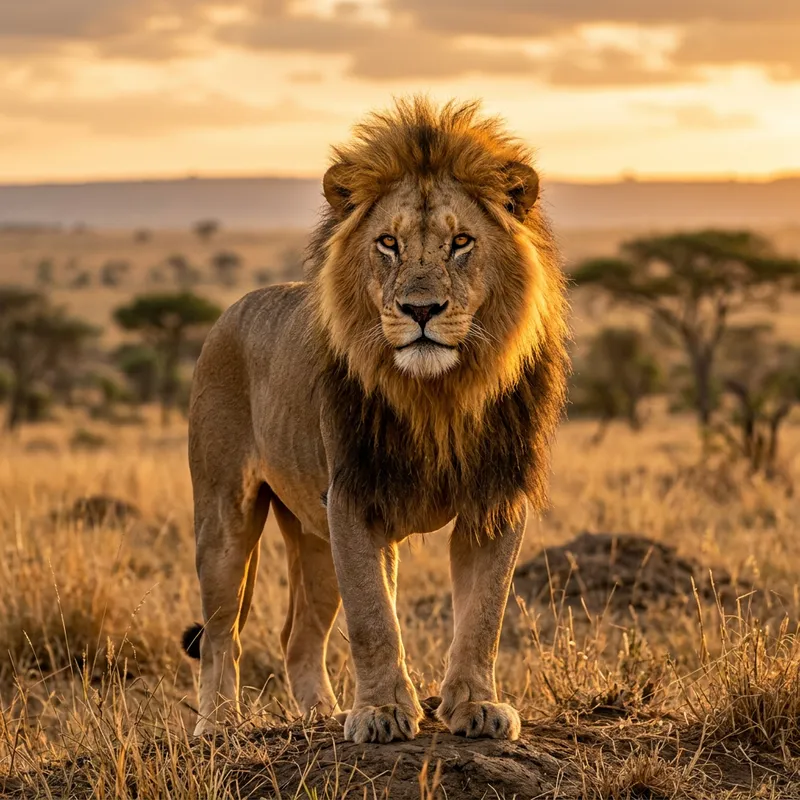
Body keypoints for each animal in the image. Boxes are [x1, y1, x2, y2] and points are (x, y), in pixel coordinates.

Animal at [182, 97, 569, 743]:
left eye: (461, 241)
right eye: (388, 242)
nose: (420, 309)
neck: (438, 395)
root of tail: (230, 312)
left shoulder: (494, 497)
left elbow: (483, 615)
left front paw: (476, 706)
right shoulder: (354, 497)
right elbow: (373, 619)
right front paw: (383, 712)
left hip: (312, 533)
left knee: (298, 637)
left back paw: (320, 713)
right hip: (225, 514)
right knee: (220, 633)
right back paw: (220, 726)